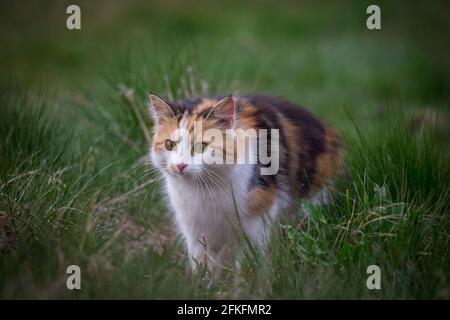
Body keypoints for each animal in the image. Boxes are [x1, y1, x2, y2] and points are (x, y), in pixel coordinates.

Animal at [149, 94, 342, 272]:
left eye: (201, 146)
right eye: (169, 144)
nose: (180, 165)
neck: (203, 191)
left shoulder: (257, 219)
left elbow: (250, 261)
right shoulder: (194, 226)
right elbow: (202, 262)